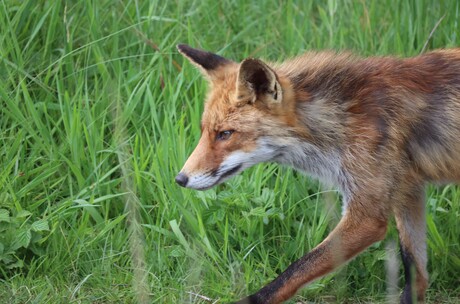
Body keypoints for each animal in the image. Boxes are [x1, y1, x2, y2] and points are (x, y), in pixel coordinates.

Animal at [173, 43, 460, 304]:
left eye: (225, 134)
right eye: (204, 131)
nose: (180, 179)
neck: (342, 120)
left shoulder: (367, 217)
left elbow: (295, 270)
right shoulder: (408, 190)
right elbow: (415, 270)